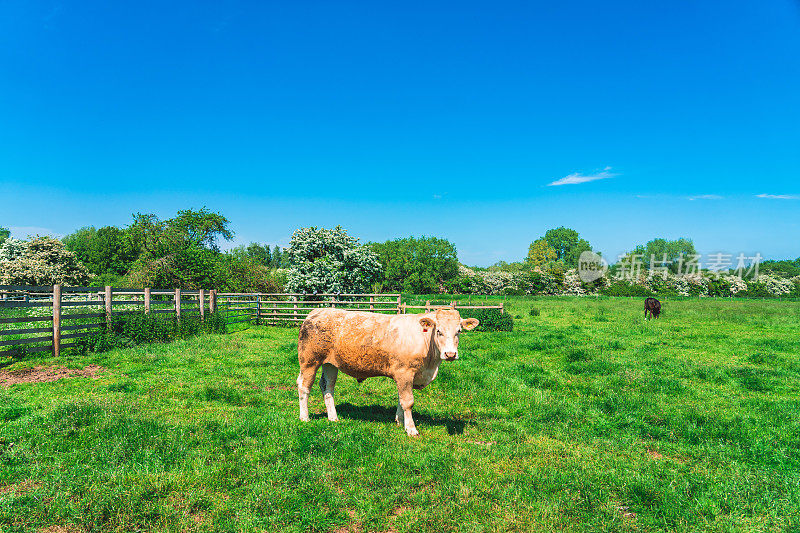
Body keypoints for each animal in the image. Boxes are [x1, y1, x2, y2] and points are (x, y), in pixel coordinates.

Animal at [296, 306, 478, 434]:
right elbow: (408, 401)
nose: (450, 354)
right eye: (438, 331)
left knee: (327, 387)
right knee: (304, 386)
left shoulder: (404, 375)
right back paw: (305, 418)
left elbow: (400, 398)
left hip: (331, 364)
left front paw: (400, 420)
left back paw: (333, 418)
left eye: (459, 331)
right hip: (309, 361)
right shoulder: (405, 372)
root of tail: (317, 311)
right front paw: (411, 429)